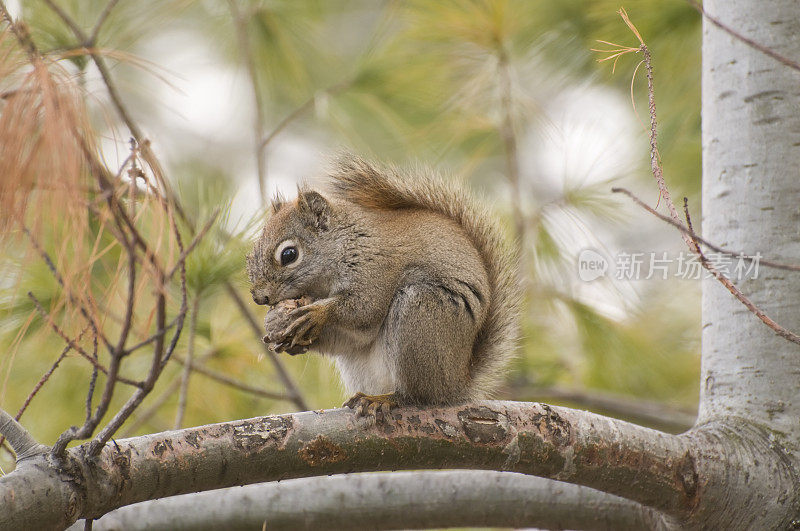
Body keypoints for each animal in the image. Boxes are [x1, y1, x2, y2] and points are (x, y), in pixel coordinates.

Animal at [248, 156, 520, 418]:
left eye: (289, 254)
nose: (260, 298)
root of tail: (456, 385)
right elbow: (354, 336)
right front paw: (283, 333)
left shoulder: (375, 268)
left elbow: (364, 309)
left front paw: (317, 313)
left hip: (420, 315)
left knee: (418, 396)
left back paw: (385, 399)